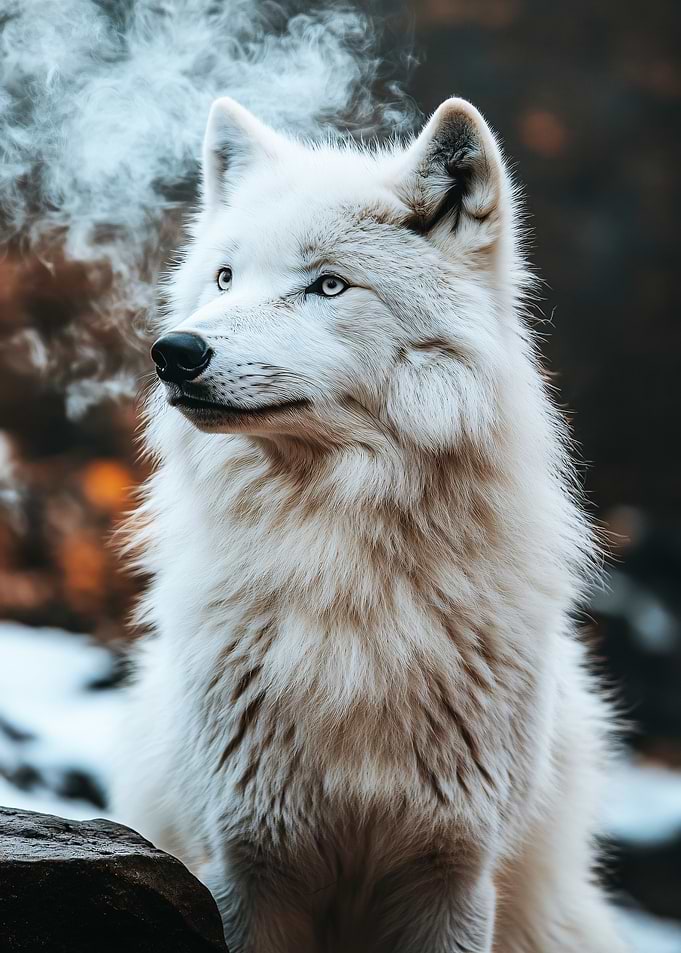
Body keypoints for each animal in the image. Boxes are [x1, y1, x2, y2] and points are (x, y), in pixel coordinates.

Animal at [112, 96, 627, 952]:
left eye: (327, 285)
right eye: (224, 276)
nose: (174, 351)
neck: (343, 570)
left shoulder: (450, 875)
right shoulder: (248, 867)